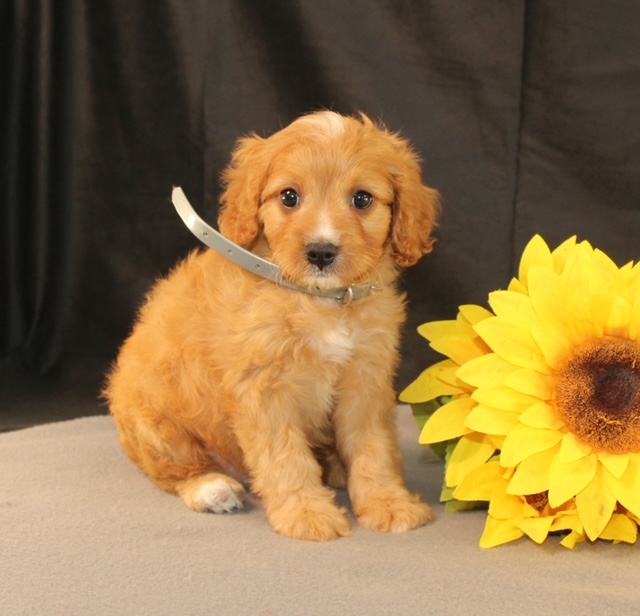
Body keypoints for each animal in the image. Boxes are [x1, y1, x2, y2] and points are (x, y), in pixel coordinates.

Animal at [107, 110, 442, 540]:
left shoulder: (366, 381)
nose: (321, 252)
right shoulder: (263, 389)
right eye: (289, 197)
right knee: (175, 470)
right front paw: (306, 512)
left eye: (362, 199)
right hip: (158, 425)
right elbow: (285, 456)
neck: (320, 301)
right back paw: (211, 488)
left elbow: (374, 447)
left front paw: (387, 502)